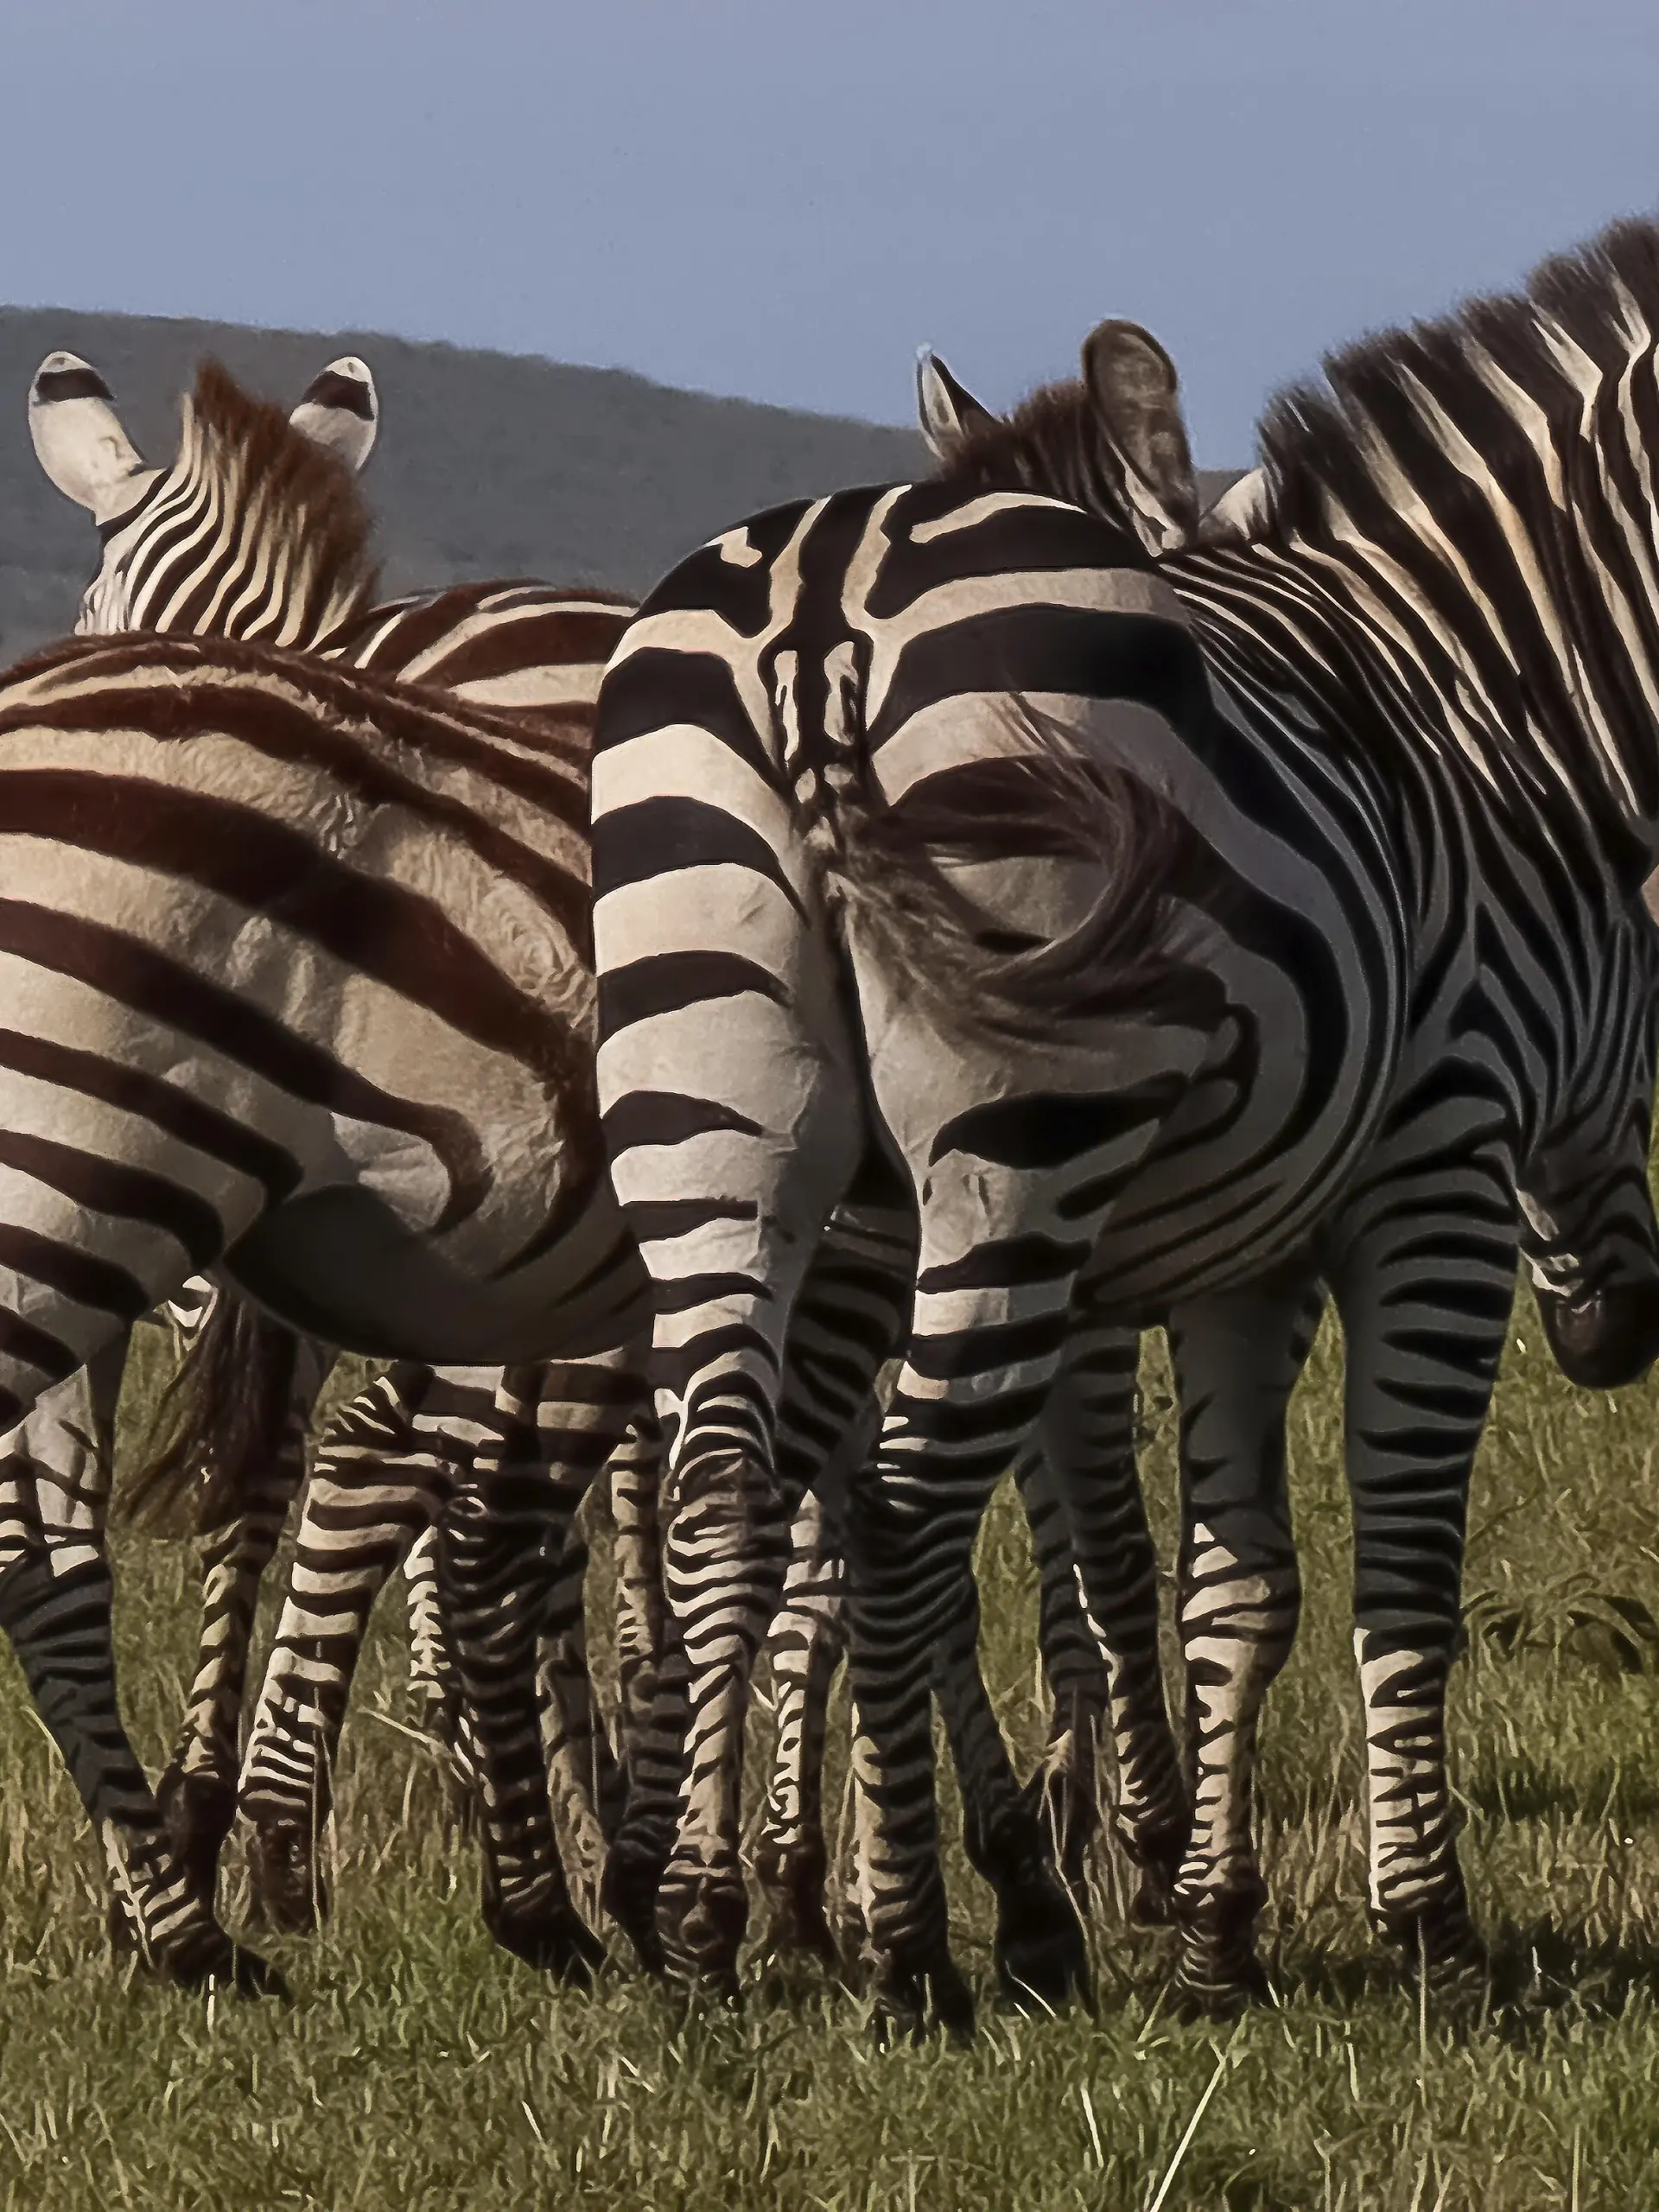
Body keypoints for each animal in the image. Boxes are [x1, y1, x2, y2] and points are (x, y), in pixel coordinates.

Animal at [588, 218, 1659, 2031]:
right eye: (1655, 960)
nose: (1619, 1336)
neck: (1490, 685)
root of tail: (816, 613)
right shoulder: (1431, 1173)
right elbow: (1383, 1570)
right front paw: (1419, 1932)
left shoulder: (1242, 1255)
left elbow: (1233, 1577)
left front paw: (1210, 1922)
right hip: (1018, 1149)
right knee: (898, 1515)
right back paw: (920, 1948)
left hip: (732, 1137)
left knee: (735, 1486)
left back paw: (707, 1917)